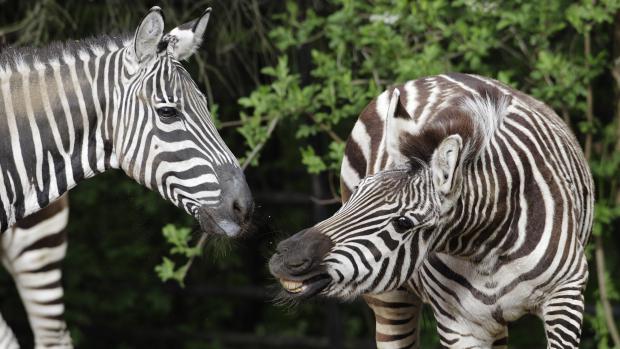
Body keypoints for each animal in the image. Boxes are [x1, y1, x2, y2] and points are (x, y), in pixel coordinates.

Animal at [268, 73, 592, 348]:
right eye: (356, 194)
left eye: (402, 223)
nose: (286, 255)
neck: (488, 245)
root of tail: (427, 77)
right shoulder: (458, 322)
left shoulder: (566, 295)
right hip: (390, 299)